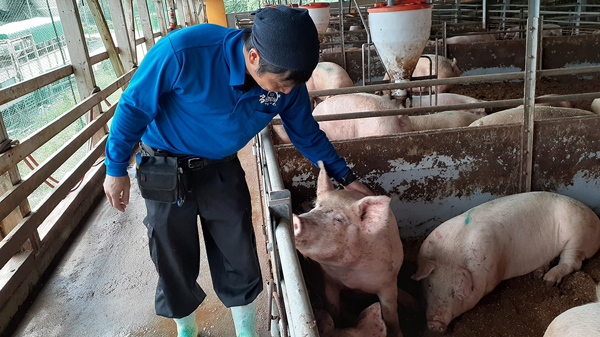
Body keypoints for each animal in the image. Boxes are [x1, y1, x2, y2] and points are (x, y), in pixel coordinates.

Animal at [294, 161, 406, 334]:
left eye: (339, 219)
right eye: (316, 207)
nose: (295, 218)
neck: (351, 275)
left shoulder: (388, 282)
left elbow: (390, 313)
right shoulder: (329, 281)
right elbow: (333, 307)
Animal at [412, 190, 600, 332]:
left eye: (453, 292)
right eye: (430, 286)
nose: (435, 323)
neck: (450, 257)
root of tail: (595, 218)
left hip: (577, 237)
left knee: (572, 262)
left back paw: (548, 280)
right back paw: (538, 274)